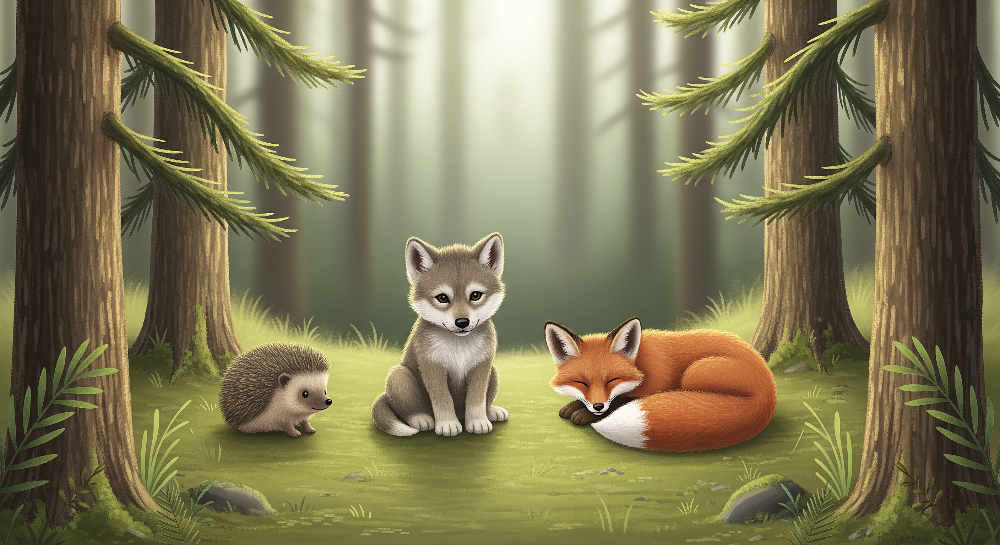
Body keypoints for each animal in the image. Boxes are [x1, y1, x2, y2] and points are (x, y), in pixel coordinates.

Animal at [372, 233, 509, 437]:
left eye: (475, 295)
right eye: (442, 298)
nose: (462, 322)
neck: (458, 346)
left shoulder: (481, 366)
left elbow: (477, 398)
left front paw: (478, 421)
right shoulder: (432, 367)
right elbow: (442, 399)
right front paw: (447, 424)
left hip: (494, 372)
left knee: (484, 401)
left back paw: (491, 412)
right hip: (399, 375)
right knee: (409, 411)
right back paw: (422, 419)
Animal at [544, 317, 777, 452]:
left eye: (612, 380)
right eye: (581, 382)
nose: (598, 406)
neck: (640, 360)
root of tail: (770, 391)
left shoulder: (658, 383)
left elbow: (621, 399)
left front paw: (583, 413)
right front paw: (574, 406)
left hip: (694, 372)